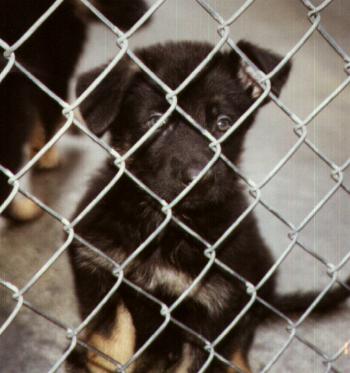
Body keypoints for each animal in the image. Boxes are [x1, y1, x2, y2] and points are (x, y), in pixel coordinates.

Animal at [0, 0, 148, 221]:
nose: (145, 14)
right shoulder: (58, 64)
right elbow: (51, 116)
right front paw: (48, 155)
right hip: (13, 108)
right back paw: (25, 211)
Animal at [66, 41, 350, 372]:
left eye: (222, 123)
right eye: (155, 121)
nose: (198, 178)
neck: (171, 226)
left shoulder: (215, 311)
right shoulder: (96, 265)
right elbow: (111, 341)